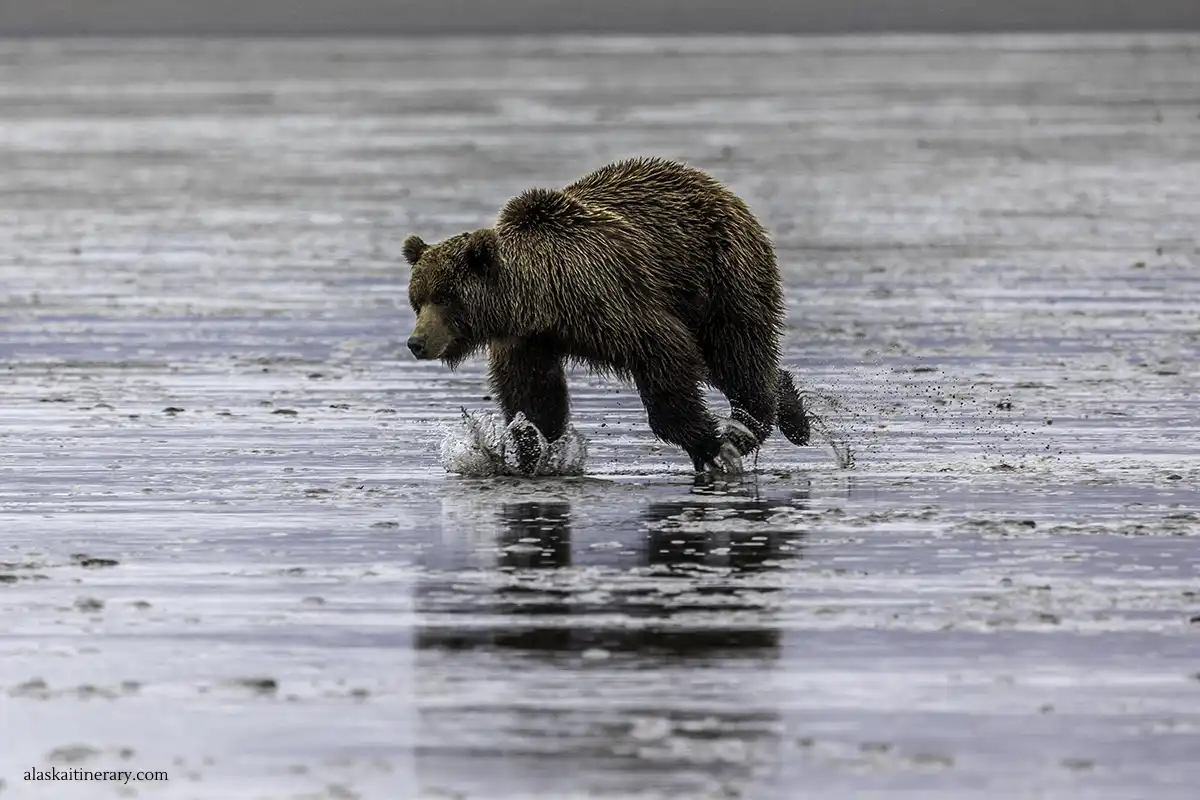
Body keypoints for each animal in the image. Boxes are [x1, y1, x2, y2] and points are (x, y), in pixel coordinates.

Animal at [402, 156, 810, 474]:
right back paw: (789, 410)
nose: (416, 342)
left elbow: (666, 355)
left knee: (736, 352)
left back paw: (749, 425)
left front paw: (711, 443)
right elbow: (533, 395)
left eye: (445, 297)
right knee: (729, 362)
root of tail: (720, 189)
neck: (544, 299)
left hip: (718, 277)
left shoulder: (610, 302)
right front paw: (529, 449)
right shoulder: (529, 339)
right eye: (417, 299)